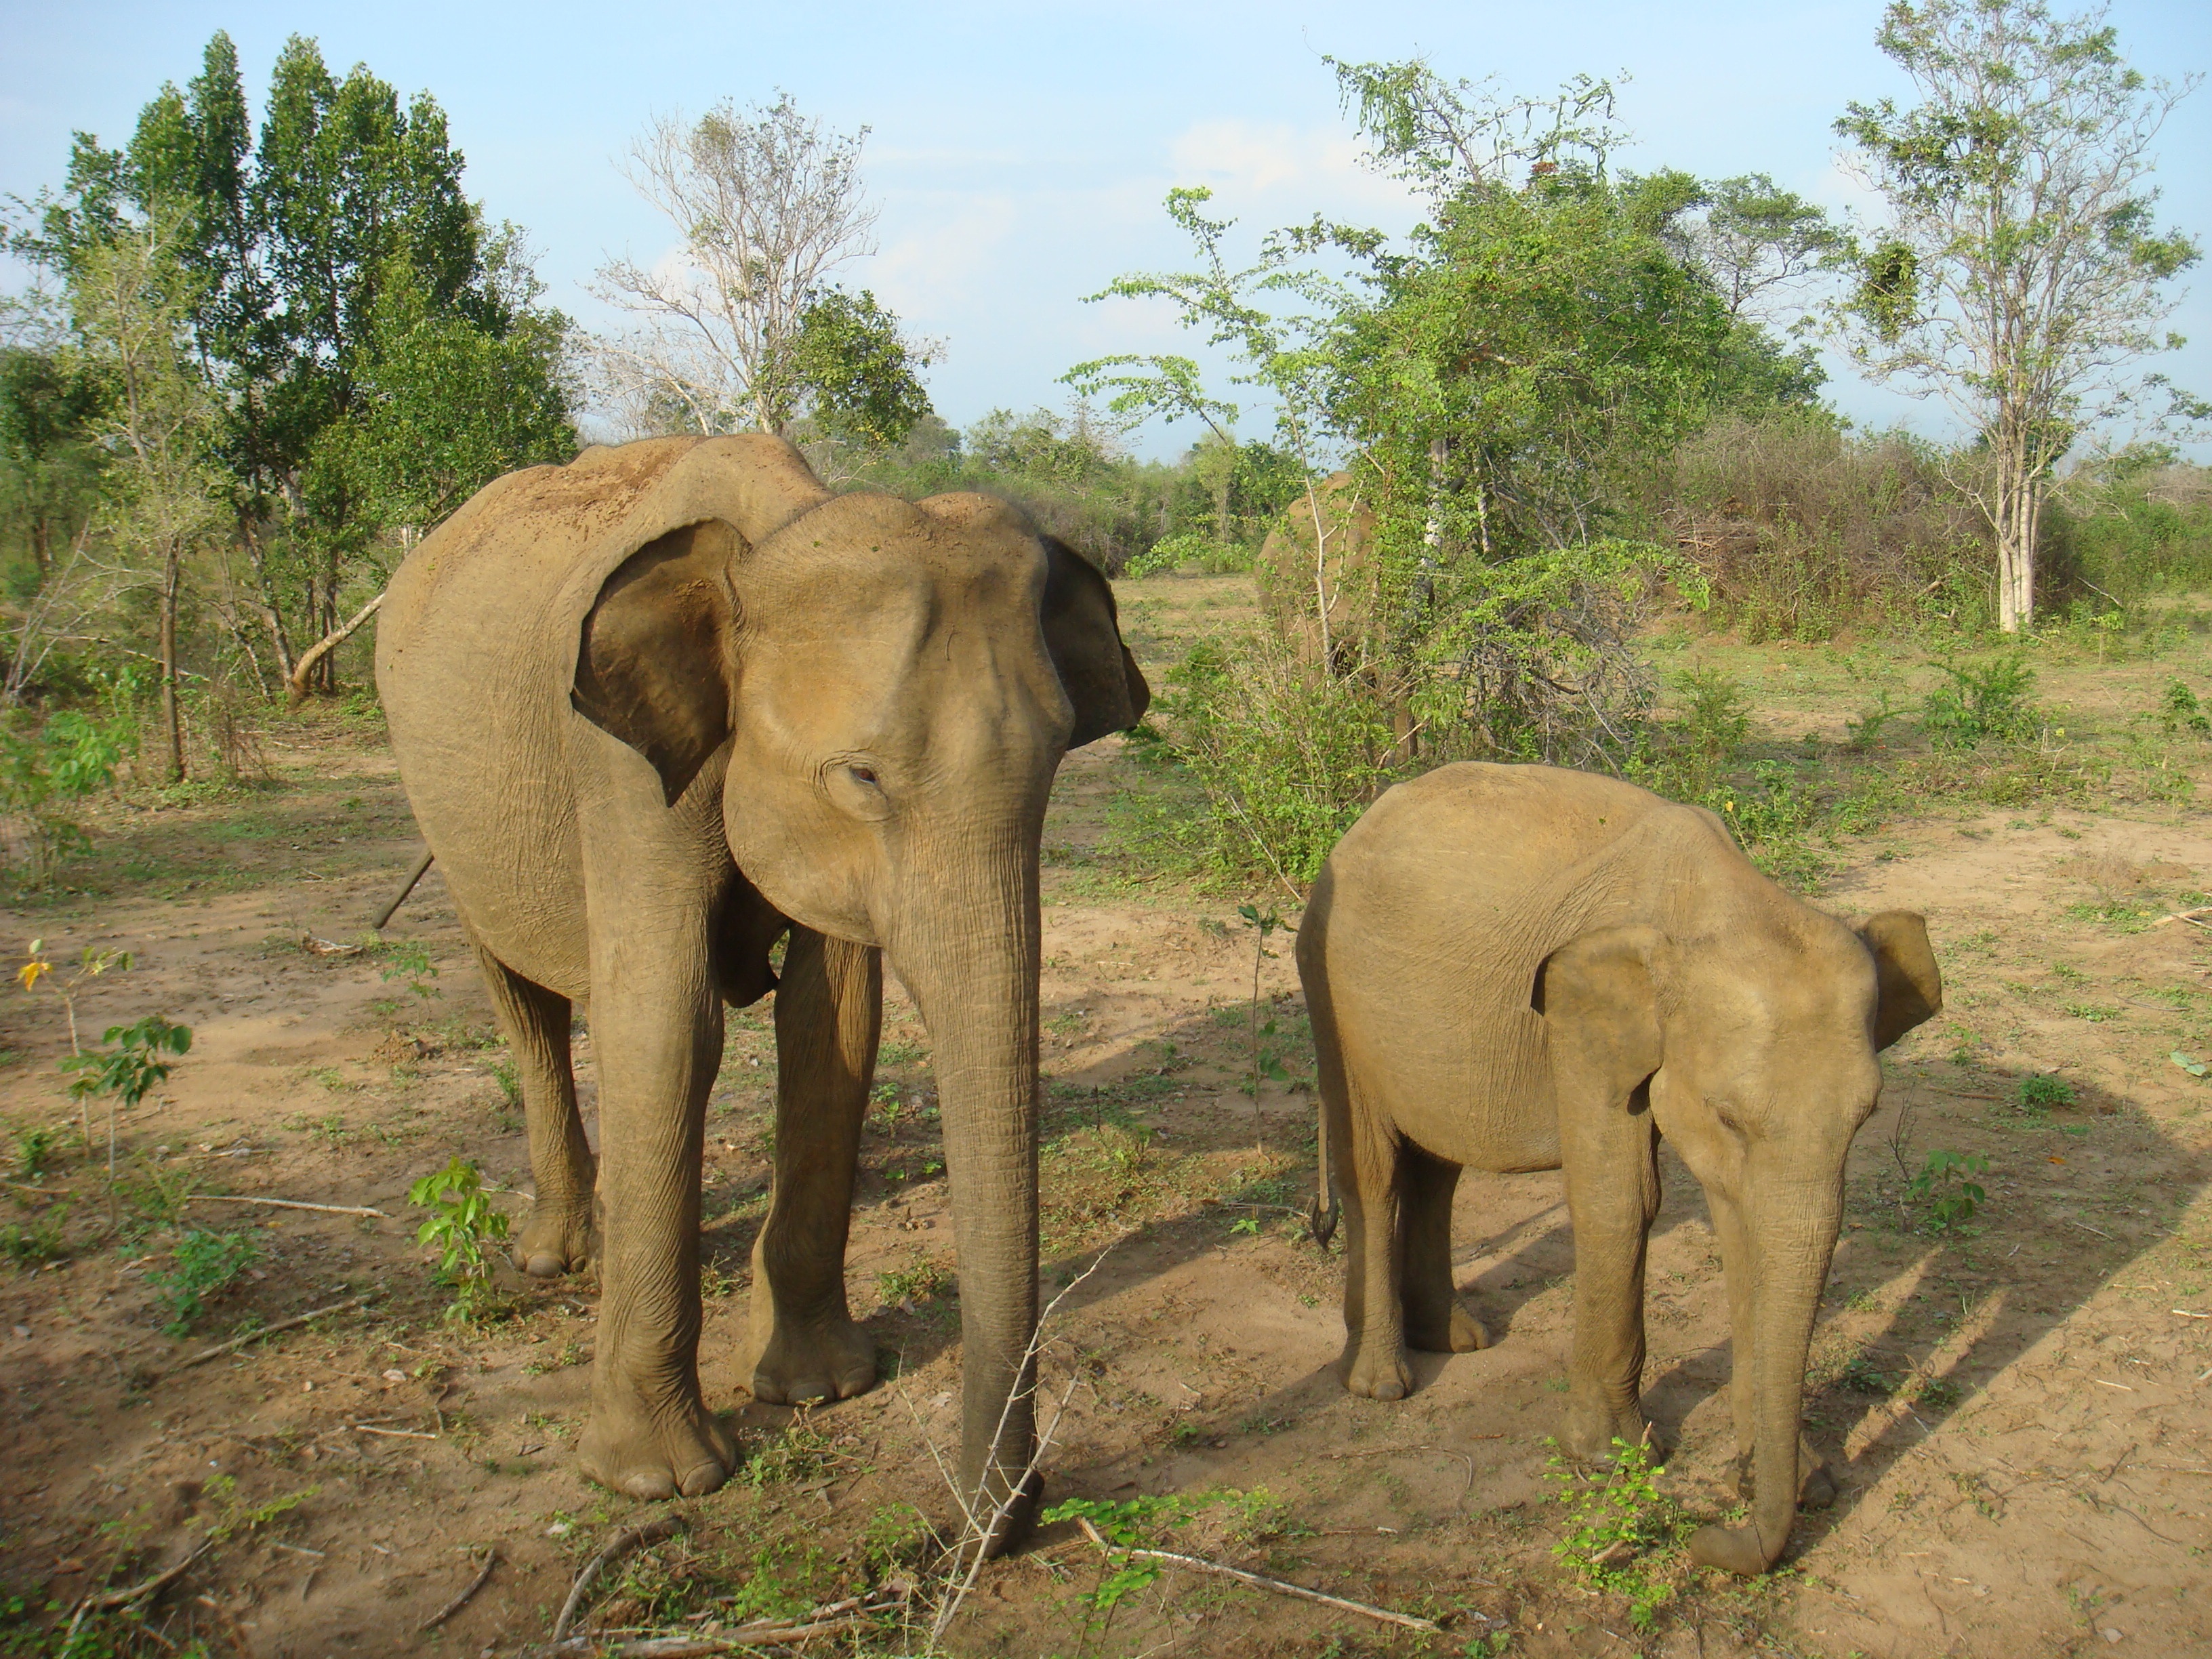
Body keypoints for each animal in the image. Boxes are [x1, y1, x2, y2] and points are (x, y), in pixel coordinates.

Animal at [373, 431, 1150, 1548]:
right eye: (862, 779)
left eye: (1055, 761)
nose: (1007, 1510)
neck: (773, 534)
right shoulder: (614, 763)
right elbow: (666, 1025)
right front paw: (658, 1481)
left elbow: (835, 1025)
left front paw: (823, 1388)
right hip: (438, 797)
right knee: (520, 995)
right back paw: (560, 1256)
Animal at [1292, 760, 1938, 1574]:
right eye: (1729, 1116)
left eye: (1867, 1118)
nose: (1708, 1535)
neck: (1723, 901)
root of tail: (1361, 822)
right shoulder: (1577, 1022)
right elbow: (1623, 1197)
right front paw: (1610, 1459)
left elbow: (1742, 1227)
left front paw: (1796, 1477)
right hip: (1330, 980)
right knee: (1373, 1168)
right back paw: (1382, 1385)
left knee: (1439, 1163)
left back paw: (1454, 1341)